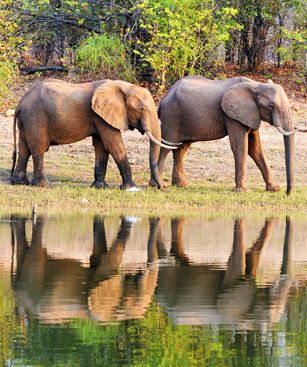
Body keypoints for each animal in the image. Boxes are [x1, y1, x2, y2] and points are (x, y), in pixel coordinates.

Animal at [10, 78, 178, 188]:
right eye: (142, 109)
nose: (160, 187)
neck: (122, 86)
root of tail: (20, 103)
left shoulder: (100, 117)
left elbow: (102, 147)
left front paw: (100, 187)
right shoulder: (100, 117)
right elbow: (114, 145)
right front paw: (131, 188)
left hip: (27, 121)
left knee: (24, 149)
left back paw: (19, 183)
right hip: (35, 118)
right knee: (38, 148)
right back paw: (43, 185)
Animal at [150, 76, 300, 194]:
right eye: (271, 106)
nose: (287, 193)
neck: (256, 85)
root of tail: (164, 98)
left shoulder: (251, 114)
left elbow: (255, 149)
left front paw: (274, 189)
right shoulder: (232, 116)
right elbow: (240, 147)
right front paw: (242, 191)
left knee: (181, 148)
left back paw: (181, 185)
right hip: (171, 115)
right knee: (166, 146)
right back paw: (156, 185)